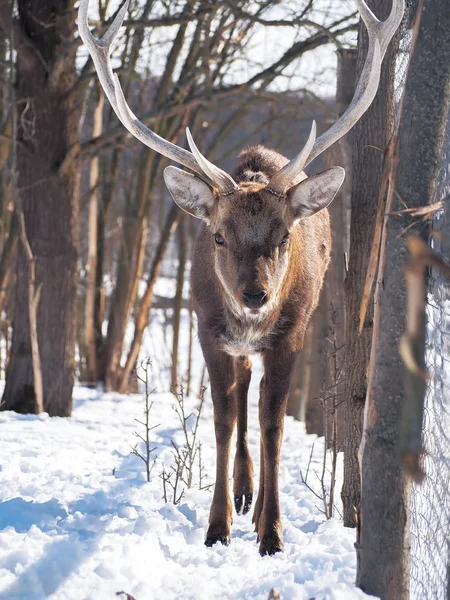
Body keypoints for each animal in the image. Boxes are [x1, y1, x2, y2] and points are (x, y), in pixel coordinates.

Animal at [79, 0, 406, 556]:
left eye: (284, 235)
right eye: (217, 237)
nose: (255, 295)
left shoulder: (291, 332)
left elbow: (272, 422)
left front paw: (271, 532)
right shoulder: (207, 330)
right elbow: (223, 418)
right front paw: (218, 527)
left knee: (259, 399)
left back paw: (254, 503)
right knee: (241, 392)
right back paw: (242, 492)